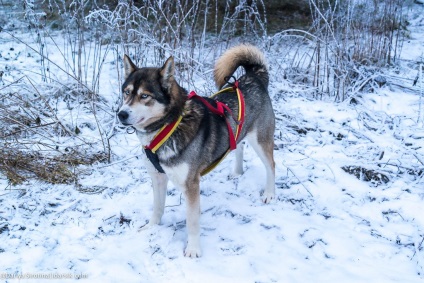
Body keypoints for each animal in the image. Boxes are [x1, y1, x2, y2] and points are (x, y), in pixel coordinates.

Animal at [117, 43, 276, 258]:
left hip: (261, 140)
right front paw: (151, 227)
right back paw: (237, 172)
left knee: (271, 165)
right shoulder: (157, 176)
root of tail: (254, 77)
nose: (121, 114)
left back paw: (269, 193)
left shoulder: (190, 184)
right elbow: (158, 207)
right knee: (239, 145)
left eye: (144, 96)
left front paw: (193, 249)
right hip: (240, 133)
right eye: (126, 92)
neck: (169, 126)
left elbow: (192, 221)